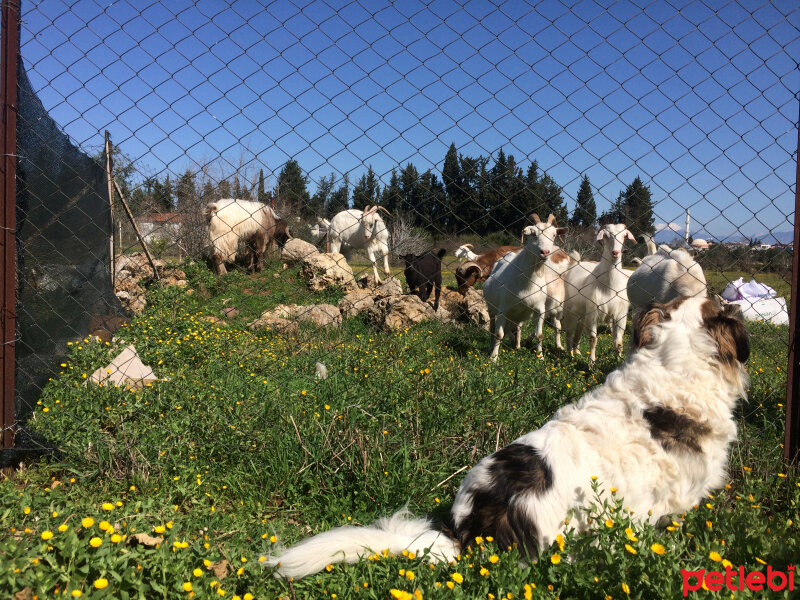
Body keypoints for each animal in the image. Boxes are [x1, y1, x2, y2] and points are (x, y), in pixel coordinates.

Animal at [484, 213, 572, 360]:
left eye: (554, 235)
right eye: (534, 233)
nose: (545, 252)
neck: (527, 284)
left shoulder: (540, 310)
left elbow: (539, 335)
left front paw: (540, 357)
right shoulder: (503, 309)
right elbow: (499, 334)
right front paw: (493, 358)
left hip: (518, 314)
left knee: (518, 327)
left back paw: (518, 346)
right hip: (492, 308)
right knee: (491, 328)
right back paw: (491, 348)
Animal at [564, 224, 636, 364]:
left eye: (624, 235)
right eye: (606, 235)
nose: (615, 252)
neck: (609, 287)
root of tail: (577, 263)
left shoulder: (620, 315)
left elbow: (619, 342)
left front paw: (618, 360)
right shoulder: (593, 313)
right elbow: (593, 339)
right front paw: (591, 363)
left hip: (582, 313)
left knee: (578, 331)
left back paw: (577, 352)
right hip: (570, 310)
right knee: (569, 332)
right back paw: (570, 354)